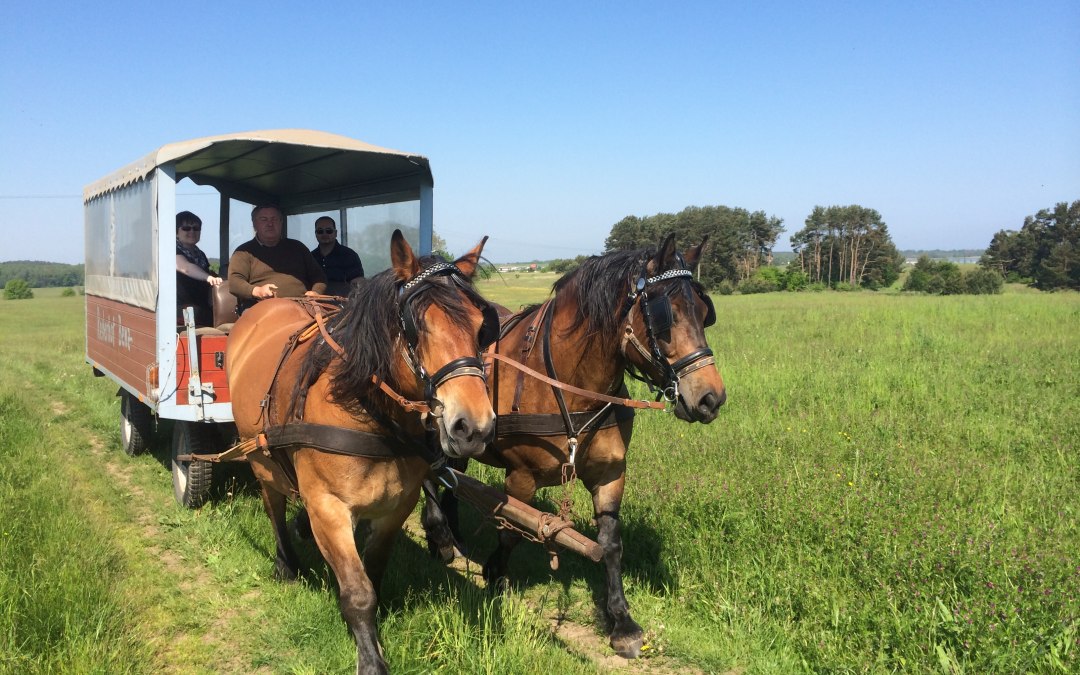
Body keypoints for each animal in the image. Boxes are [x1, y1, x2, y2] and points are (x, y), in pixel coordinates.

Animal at [231, 230, 496, 669]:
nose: (474, 427)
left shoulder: (397, 505)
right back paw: (286, 562)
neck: (367, 411)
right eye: (418, 327)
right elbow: (357, 591)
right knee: (273, 503)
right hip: (258, 456)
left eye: (480, 327)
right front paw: (370, 658)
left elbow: (373, 569)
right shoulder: (328, 507)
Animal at [421, 233, 725, 656]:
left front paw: (622, 621)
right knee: (433, 477)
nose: (711, 398)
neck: (570, 386)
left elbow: (610, 544)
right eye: (667, 315)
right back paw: (440, 537)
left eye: (703, 312)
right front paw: (495, 574)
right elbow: (511, 530)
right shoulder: (521, 476)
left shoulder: (610, 473)